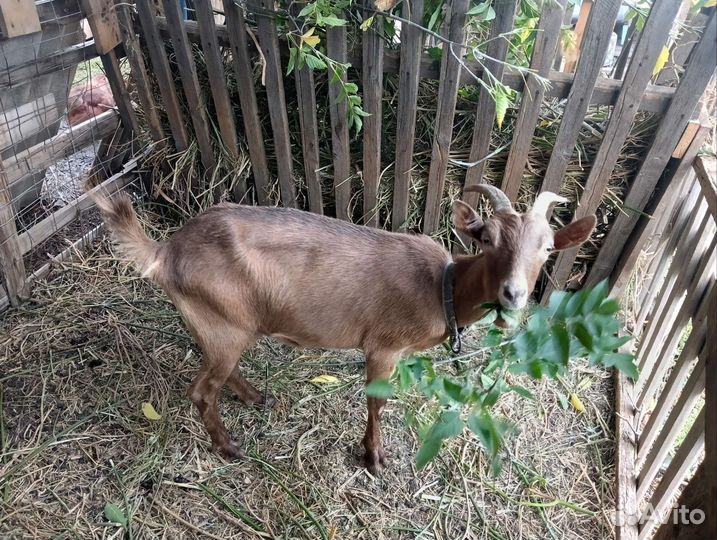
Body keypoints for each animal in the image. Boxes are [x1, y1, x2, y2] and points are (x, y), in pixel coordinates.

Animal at [92, 185, 596, 474]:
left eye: (547, 248)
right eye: (487, 238)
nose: (513, 294)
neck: (441, 287)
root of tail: (165, 252)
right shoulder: (383, 347)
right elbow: (376, 404)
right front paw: (374, 459)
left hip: (224, 325)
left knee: (217, 372)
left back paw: (255, 397)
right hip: (223, 323)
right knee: (201, 390)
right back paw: (229, 447)